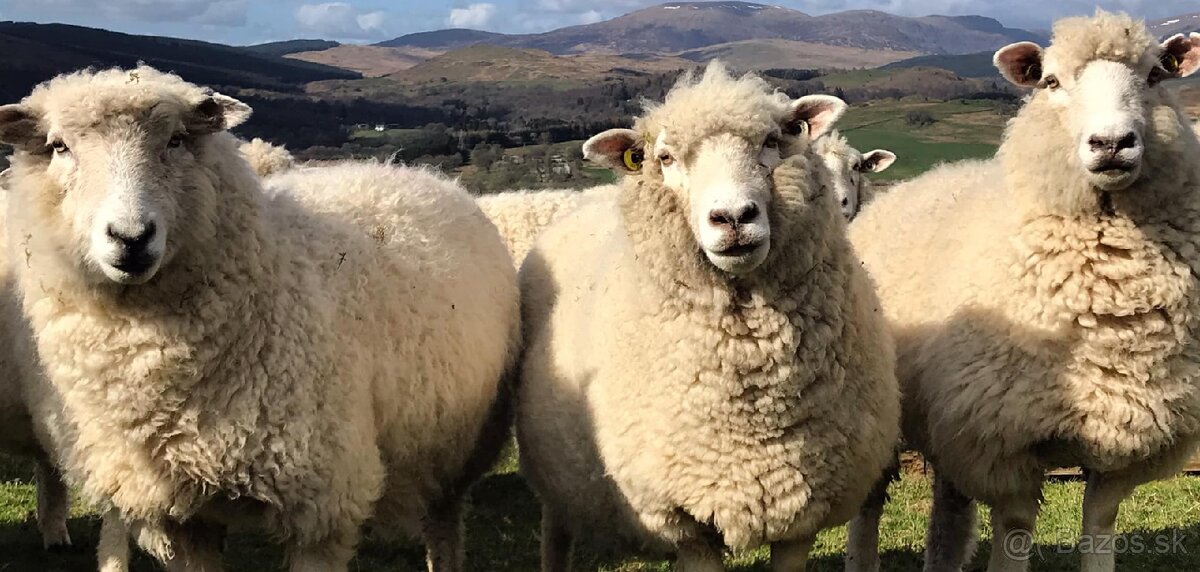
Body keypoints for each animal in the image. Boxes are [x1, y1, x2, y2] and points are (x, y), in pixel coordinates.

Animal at [1, 64, 525, 568]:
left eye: (177, 140)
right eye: (59, 147)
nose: (130, 237)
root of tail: (415, 174)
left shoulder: (322, 499)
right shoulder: (174, 514)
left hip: (457, 449)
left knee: (444, 524)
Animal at [516, 60, 902, 568]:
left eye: (773, 141)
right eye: (664, 158)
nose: (734, 217)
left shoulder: (802, 512)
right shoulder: (685, 519)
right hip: (552, 474)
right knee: (554, 529)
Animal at [849, 12, 1200, 570]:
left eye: (1154, 76)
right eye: (1051, 82)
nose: (1112, 143)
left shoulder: (1123, 440)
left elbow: (1100, 525)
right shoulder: (1002, 443)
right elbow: (1015, 530)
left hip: (950, 416)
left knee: (949, 504)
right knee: (870, 503)